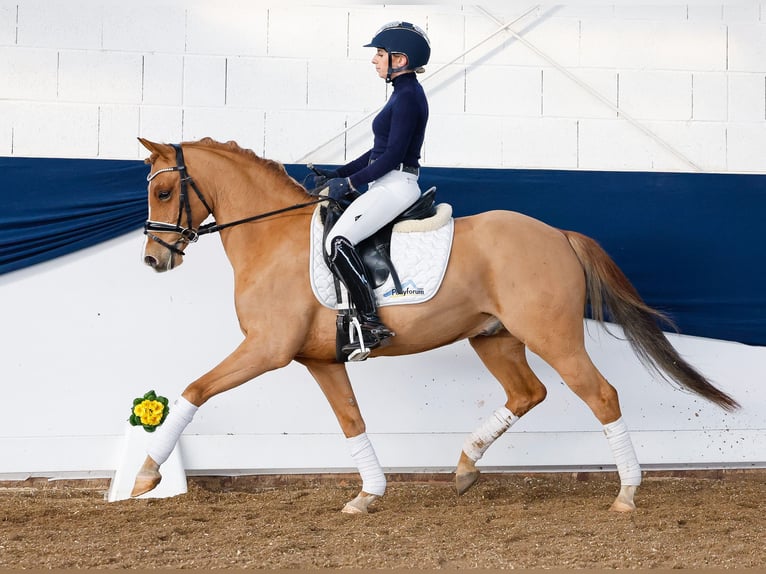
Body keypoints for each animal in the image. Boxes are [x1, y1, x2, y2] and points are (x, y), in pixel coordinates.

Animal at [130, 137, 736, 516]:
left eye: (163, 191)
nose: (154, 261)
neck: (272, 239)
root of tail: (558, 234)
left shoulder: (266, 349)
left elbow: (194, 390)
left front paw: (146, 475)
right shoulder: (320, 360)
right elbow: (352, 422)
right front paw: (368, 495)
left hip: (552, 336)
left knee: (601, 395)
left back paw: (627, 494)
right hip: (494, 338)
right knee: (528, 393)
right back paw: (465, 468)